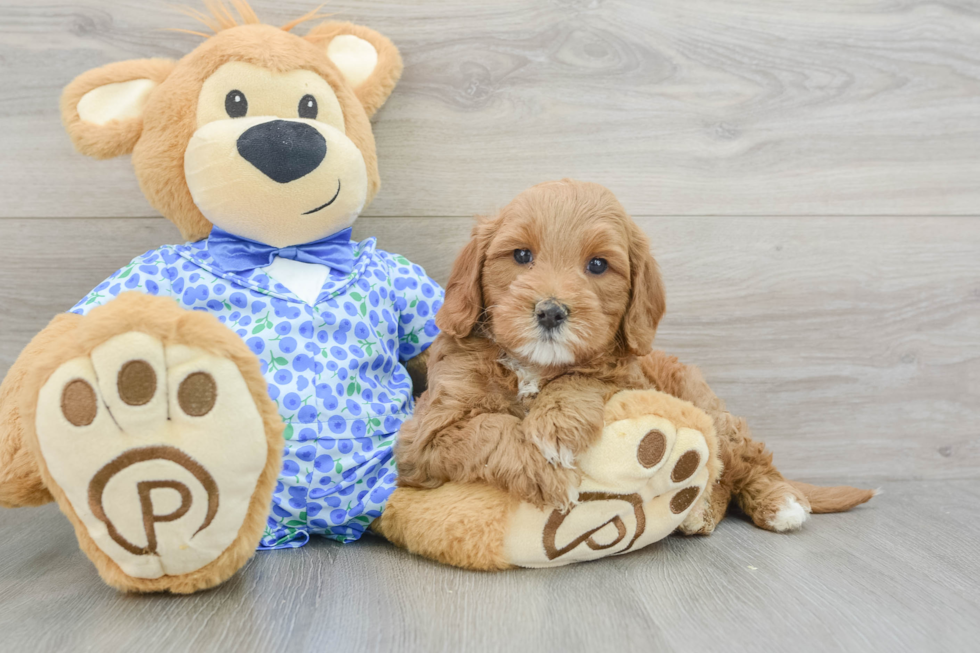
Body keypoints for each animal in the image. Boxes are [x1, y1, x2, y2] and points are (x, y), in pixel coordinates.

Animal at [394, 180, 876, 536]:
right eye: (522, 255)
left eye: (598, 265)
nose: (550, 311)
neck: (534, 365)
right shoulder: (426, 436)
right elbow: (491, 429)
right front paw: (549, 471)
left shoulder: (630, 378)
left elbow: (586, 376)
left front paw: (555, 427)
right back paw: (700, 510)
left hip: (711, 411)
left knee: (747, 460)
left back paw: (778, 503)